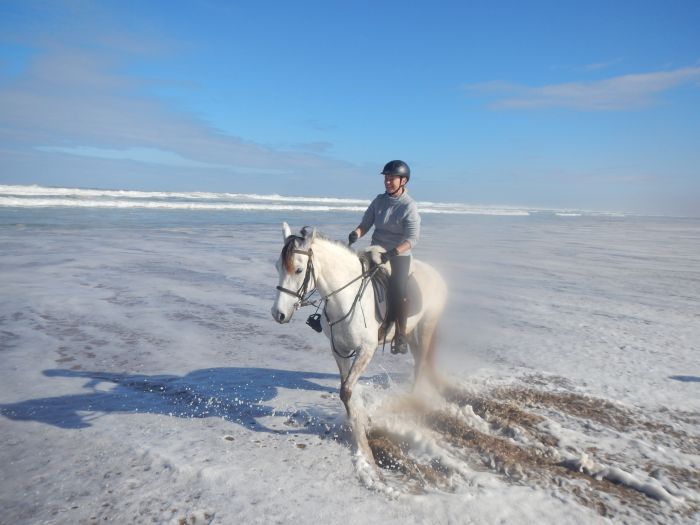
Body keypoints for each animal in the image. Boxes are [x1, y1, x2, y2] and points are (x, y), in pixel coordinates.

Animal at [270, 223, 446, 482]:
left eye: (299, 269)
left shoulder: (366, 350)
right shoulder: (339, 351)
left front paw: (363, 445)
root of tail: (436, 274)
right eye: (277, 267)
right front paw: (358, 424)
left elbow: (346, 391)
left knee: (421, 364)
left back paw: (412, 400)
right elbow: (346, 390)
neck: (346, 297)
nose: (278, 314)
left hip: (427, 326)